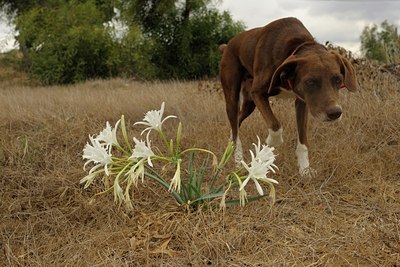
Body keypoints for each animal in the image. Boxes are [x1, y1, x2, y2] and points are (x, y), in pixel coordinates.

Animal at [220, 16, 358, 176]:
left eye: (338, 79)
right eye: (310, 82)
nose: (335, 113)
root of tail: (227, 46)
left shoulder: (302, 102)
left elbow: (303, 140)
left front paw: (305, 170)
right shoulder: (258, 93)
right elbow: (275, 125)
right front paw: (269, 145)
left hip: (250, 104)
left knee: (236, 123)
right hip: (232, 97)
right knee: (235, 127)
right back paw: (237, 161)